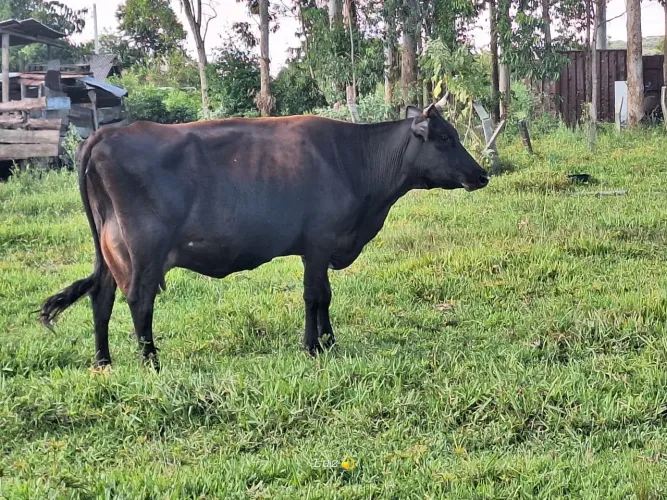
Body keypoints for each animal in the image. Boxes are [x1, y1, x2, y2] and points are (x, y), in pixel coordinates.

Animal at [40, 99, 489, 370]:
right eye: (445, 138)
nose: (482, 174)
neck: (354, 161)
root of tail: (105, 134)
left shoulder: (320, 246)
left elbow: (325, 296)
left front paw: (329, 341)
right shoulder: (319, 241)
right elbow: (314, 295)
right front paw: (312, 346)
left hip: (109, 247)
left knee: (102, 295)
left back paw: (104, 361)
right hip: (145, 248)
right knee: (138, 299)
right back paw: (151, 362)